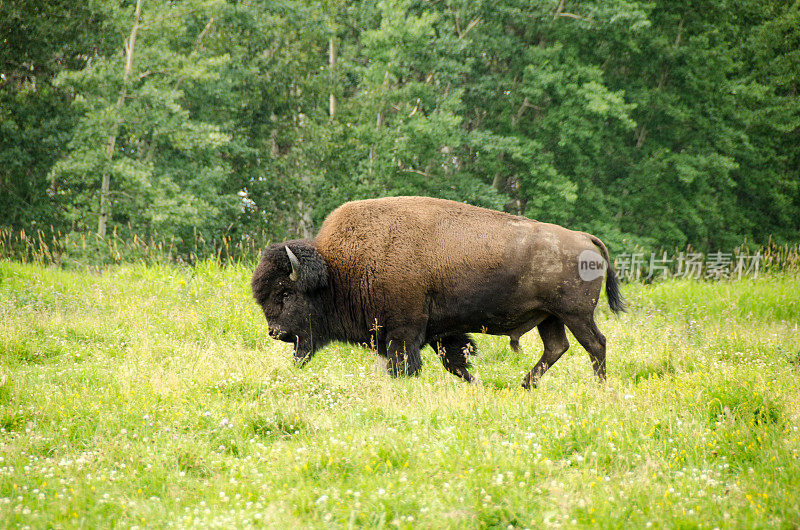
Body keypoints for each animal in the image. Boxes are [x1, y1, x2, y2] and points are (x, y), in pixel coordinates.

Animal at [250, 196, 624, 386]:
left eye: (286, 294)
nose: (275, 332)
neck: (338, 268)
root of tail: (584, 237)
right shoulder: (438, 332)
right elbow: (454, 360)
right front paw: (474, 383)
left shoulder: (403, 331)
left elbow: (406, 364)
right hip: (550, 317)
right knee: (557, 347)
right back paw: (525, 384)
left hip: (576, 314)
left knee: (595, 345)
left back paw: (599, 386)